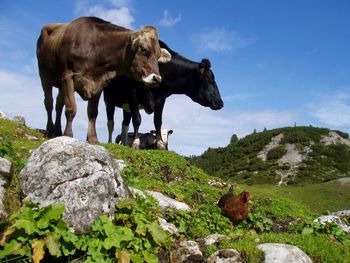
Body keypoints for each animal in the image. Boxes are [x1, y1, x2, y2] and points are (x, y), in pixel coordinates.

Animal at [36, 16, 171, 144]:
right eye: (144, 49)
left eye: (158, 56)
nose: (157, 78)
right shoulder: (68, 76)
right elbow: (71, 108)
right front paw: (68, 135)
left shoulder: (98, 83)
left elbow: (92, 112)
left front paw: (92, 138)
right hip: (44, 76)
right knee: (49, 103)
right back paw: (50, 129)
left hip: (60, 85)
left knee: (59, 105)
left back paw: (57, 130)